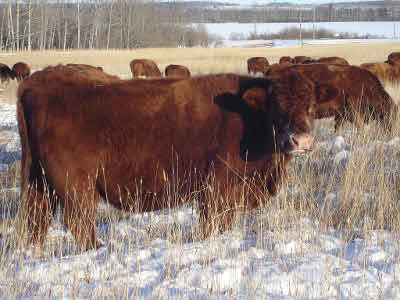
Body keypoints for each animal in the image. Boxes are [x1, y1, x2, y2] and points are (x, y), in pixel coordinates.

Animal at [16, 65, 338, 251]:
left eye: (312, 104)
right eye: (277, 106)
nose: (301, 140)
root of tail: (35, 81)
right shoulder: (217, 187)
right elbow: (213, 223)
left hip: (39, 181)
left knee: (37, 218)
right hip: (74, 185)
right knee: (78, 222)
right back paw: (100, 249)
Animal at [266, 63, 396, 131]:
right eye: (389, 113)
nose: (391, 130)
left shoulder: (341, 115)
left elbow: (337, 128)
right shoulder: (353, 112)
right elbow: (360, 127)